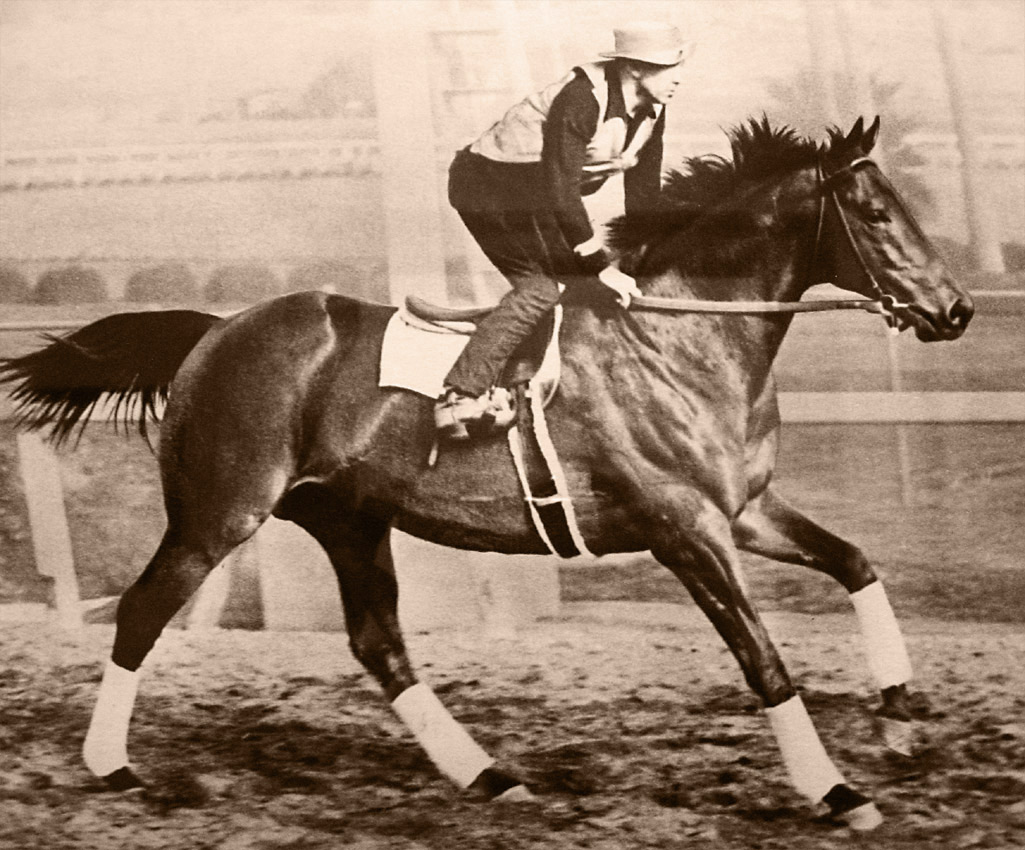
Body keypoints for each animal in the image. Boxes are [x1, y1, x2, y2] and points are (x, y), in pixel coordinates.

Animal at [0, 117, 973, 831]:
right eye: (876, 214)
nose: (955, 309)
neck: (679, 336)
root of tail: (214, 331)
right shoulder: (683, 529)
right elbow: (763, 660)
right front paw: (837, 791)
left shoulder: (744, 512)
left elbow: (855, 563)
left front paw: (896, 717)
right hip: (219, 515)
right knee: (141, 611)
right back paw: (110, 765)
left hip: (348, 518)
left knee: (379, 645)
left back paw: (488, 777)